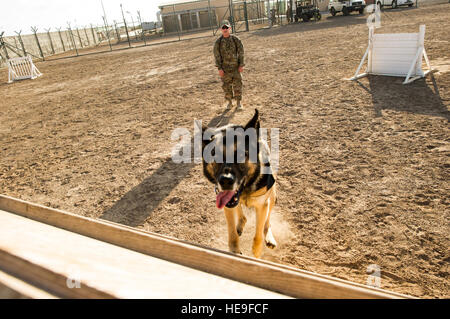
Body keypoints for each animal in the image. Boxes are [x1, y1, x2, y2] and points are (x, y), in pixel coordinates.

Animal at [202, 110, 276, 260]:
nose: (226, 181)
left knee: (267, 221)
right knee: (240, 212)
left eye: (242, 154)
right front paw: (234, 250)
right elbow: (232, 233)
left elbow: (258, 234)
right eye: (214, 155)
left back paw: (269, 236)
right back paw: (241, 223)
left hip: (273, 196)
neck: (246, 190)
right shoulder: (226, 204)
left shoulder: (262, 205)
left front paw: (256, 253)